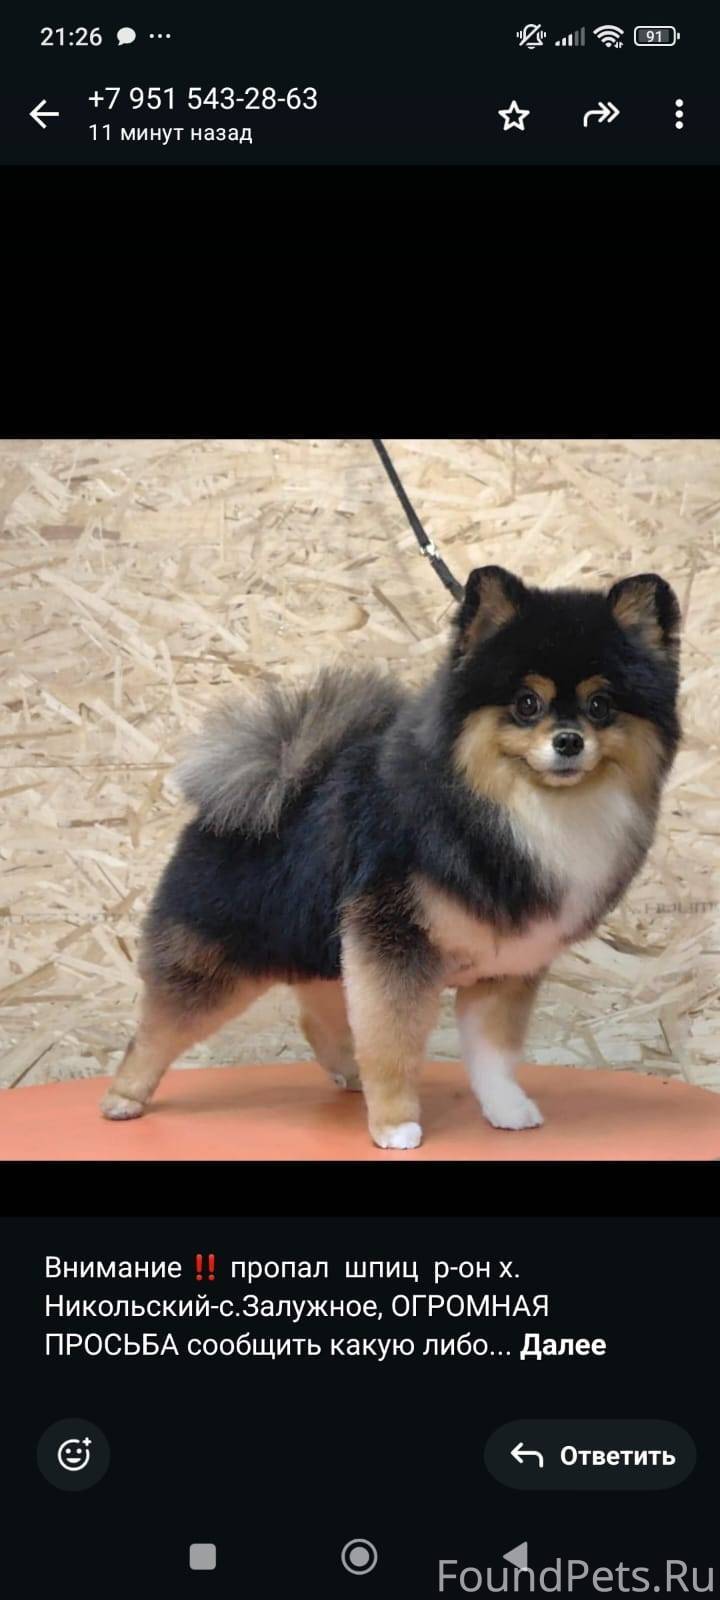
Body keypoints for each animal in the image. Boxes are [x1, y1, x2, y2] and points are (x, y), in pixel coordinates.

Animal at [101, 566, 681, 1149]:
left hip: (326, 948)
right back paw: (124, 1097)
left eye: (601, 706)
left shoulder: (503, 967)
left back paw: (348, 1073)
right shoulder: (394, 946)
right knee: (157, 1029)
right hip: (215, 959)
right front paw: (395, 1124)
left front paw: (507, 1108)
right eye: (526, 704)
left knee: (318, 1017)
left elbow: (493, 1054)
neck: (518, 814)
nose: (568, 741)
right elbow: (392, 1043)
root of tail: (260, 786)